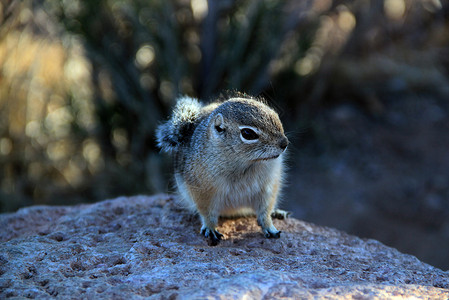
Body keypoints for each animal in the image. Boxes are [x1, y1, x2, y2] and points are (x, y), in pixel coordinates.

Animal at [156, 96, 288, 246]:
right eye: (248, 133)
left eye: (276, 115)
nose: (284, 143)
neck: (247, 164)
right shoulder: (203, 191)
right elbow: (207, 213)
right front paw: (210, 228)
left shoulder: (267, 188)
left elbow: (264, 211)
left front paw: (269, 226)